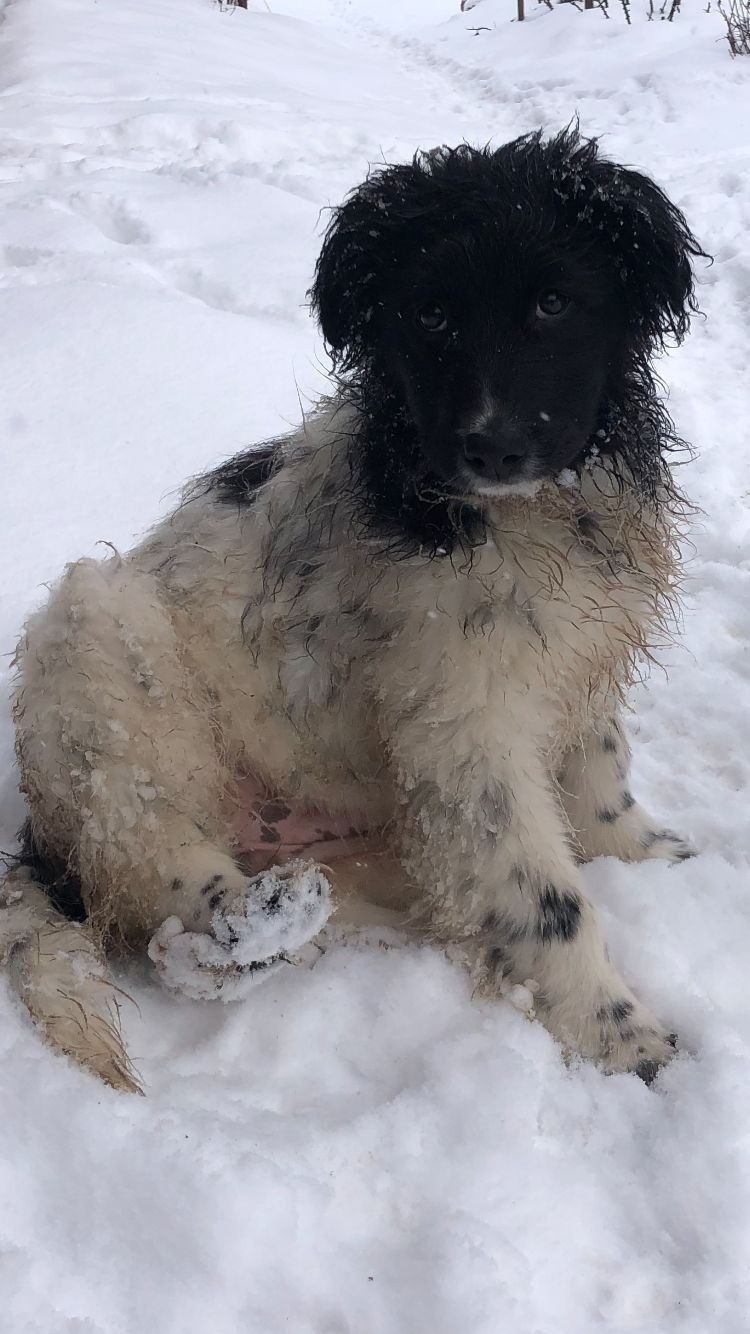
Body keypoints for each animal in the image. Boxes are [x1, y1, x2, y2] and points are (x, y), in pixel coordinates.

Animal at [0, 127, 704, 1093]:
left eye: (554, 302)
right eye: (430, 316)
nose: (492, 447)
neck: (513, 512)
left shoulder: (578, 654)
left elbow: (600, 776)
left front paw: (648, 853)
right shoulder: (461, 727)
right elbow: (544, 895)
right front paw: (622, 1038)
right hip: (92, 653)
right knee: (154, 891)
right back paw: (249, 916)